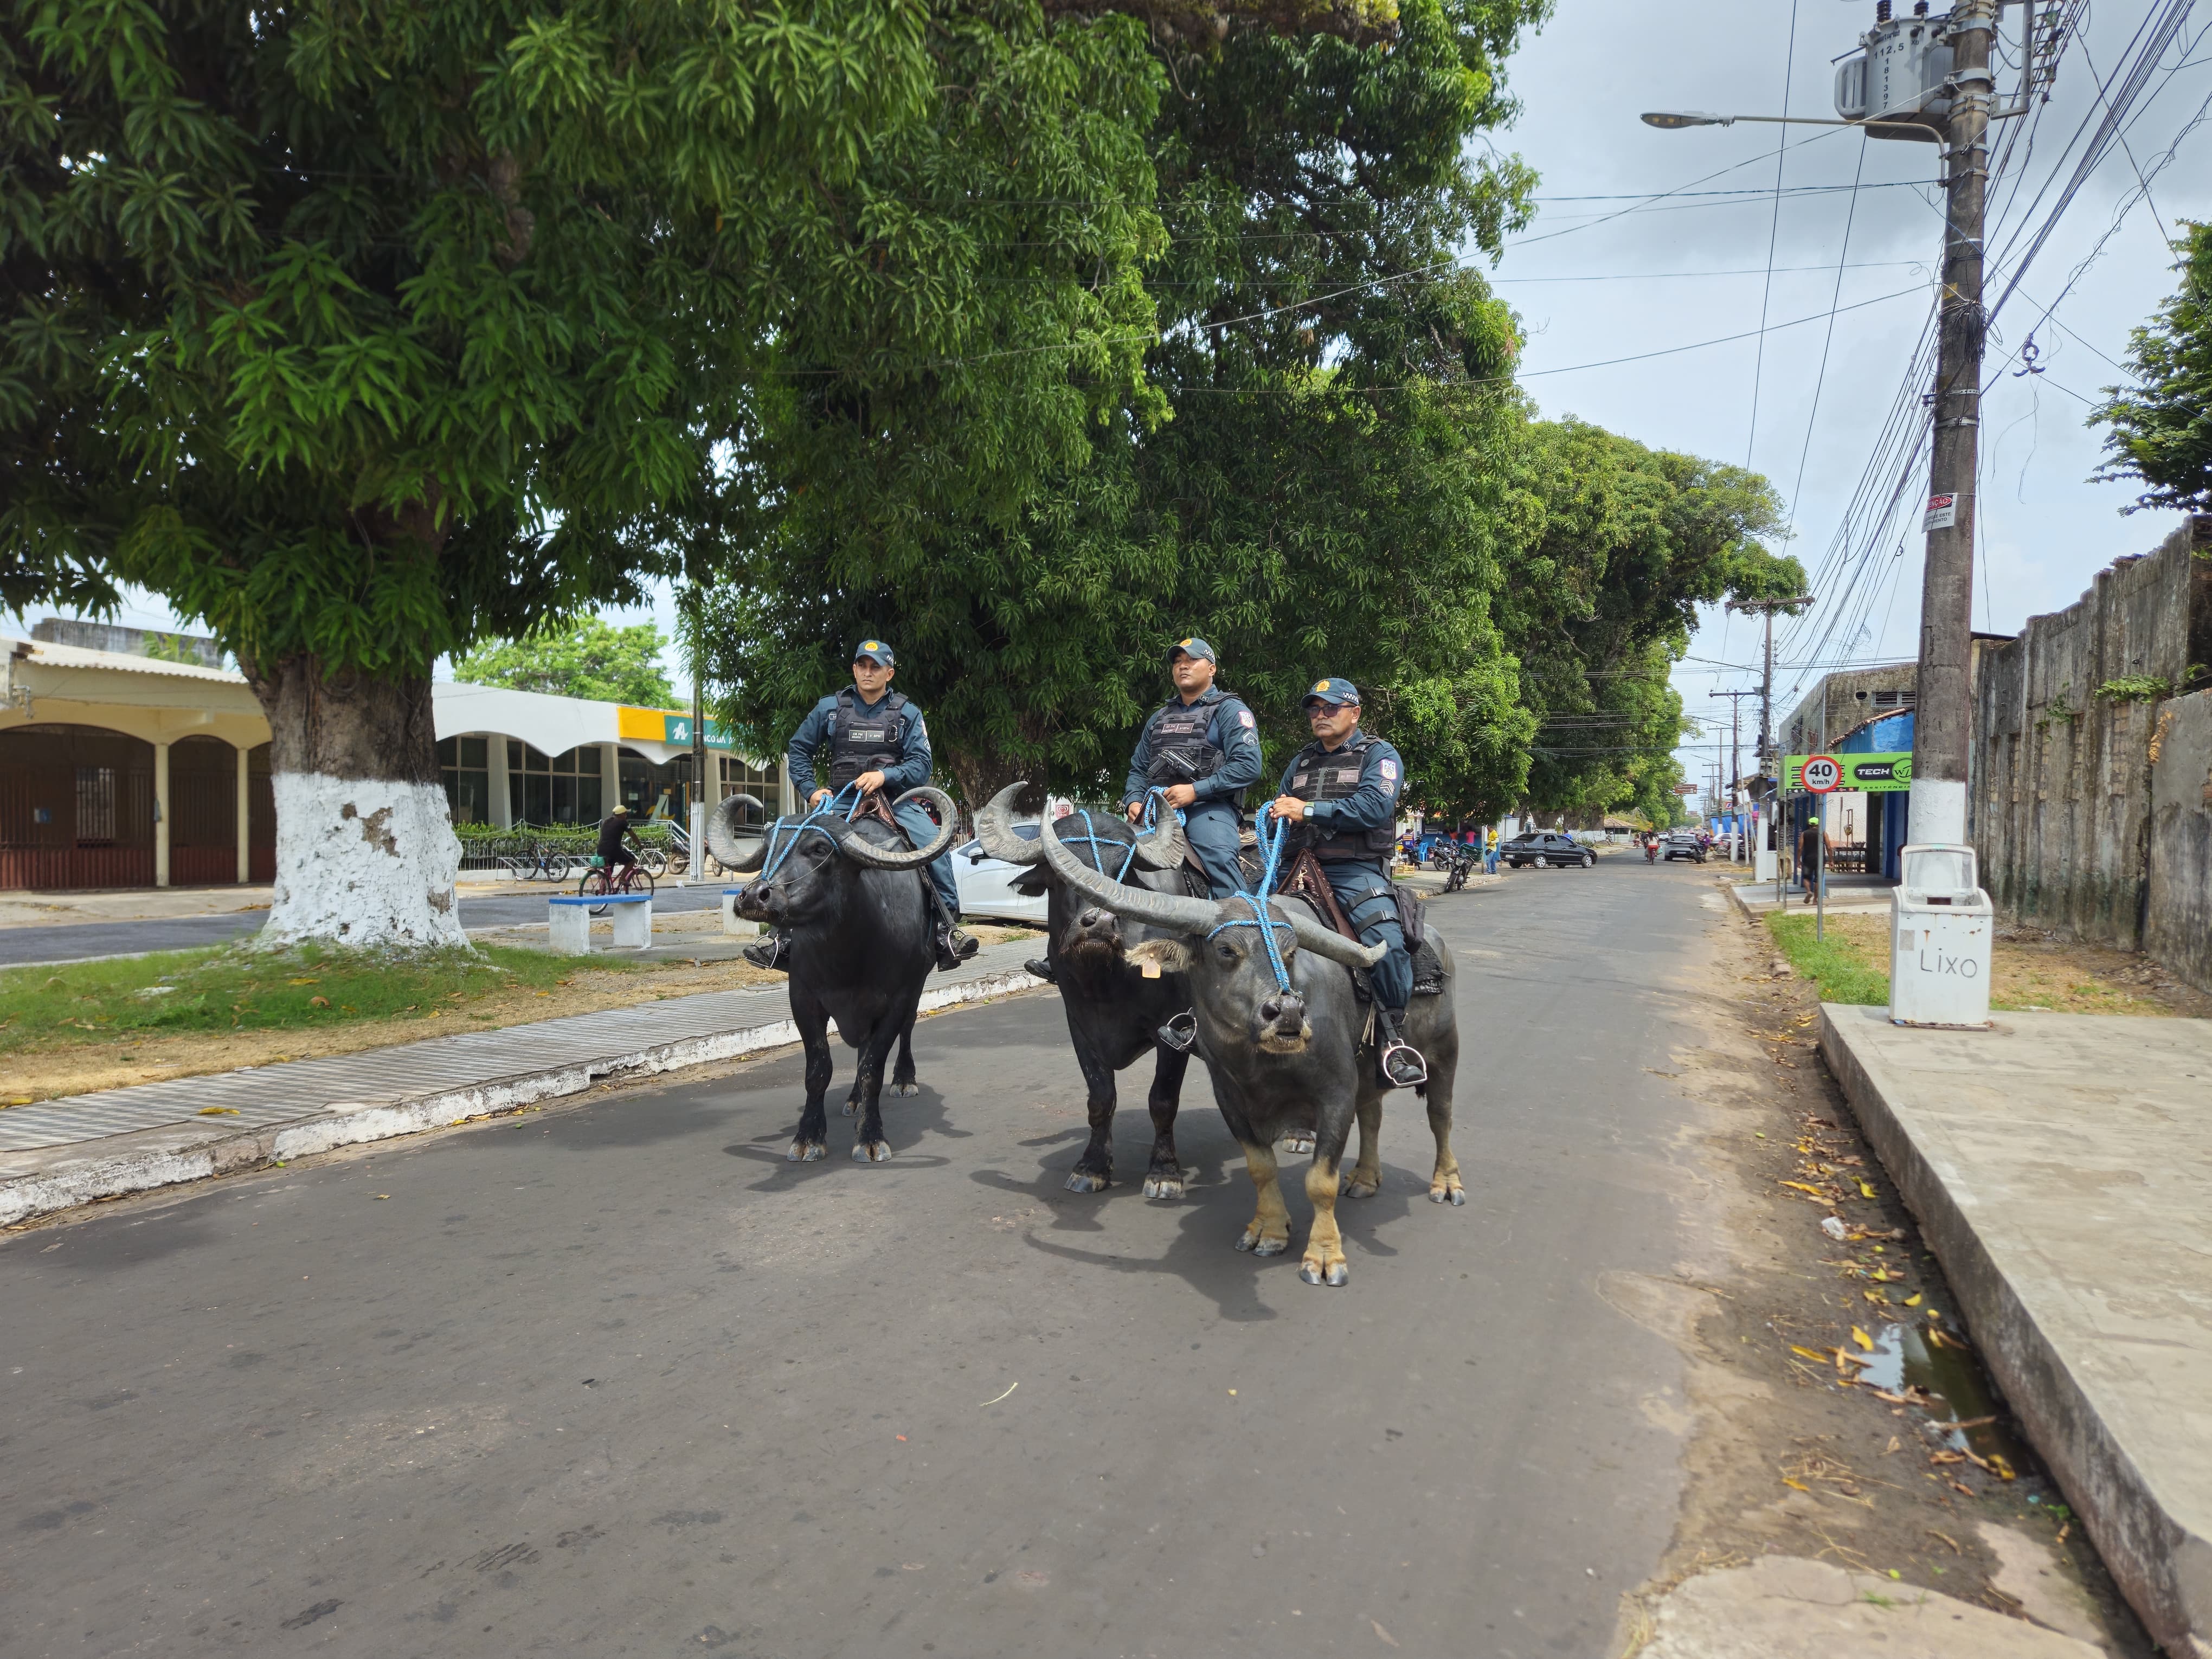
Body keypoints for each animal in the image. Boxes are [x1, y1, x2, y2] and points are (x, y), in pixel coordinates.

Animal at [708, 796, 951, 1168]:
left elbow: (873, 1069)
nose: (753, 896)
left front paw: (870, 1138)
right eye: (768, 848)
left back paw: (904, 1080)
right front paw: (808, 1138)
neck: (848, 955)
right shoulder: (803, 1000)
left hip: (917, 985)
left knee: (907, 1030)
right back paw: (854, 1100)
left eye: (820, 849)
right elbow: (819, 1071)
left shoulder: (897, 999)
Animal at [973, 787, 1203, 1203]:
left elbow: (1163, 1100)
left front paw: (1164, 1172)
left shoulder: (1176, 1027)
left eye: (1123, 871)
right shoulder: (1080, 1026)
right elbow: (1100, 1097)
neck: (1106, 979)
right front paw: (1092, 1167)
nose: (1099, 923)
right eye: (1059, 873)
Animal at [1039, 805, 1469, 1283]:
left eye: (1291, 951)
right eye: (1226, 950)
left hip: (1445, 1052)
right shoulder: (1229, 1097)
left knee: (1441, 1115)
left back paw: (1446, 1183)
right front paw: (1270, 1231)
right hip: (1370, 1066)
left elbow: (1320, 1181)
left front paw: (1324, 1256)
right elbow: (1260, 1168)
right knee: (1373, 1114)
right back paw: (1364, 1177)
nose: (1288, 1013)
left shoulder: (1335, 1092)